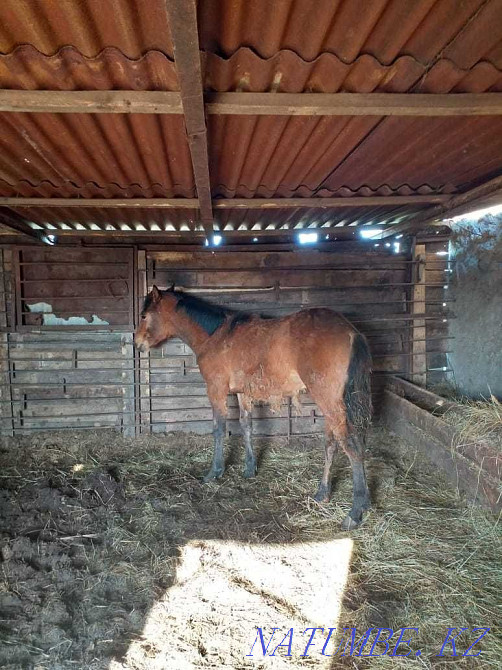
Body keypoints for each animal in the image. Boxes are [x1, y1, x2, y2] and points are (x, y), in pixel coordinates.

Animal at [134, 285, 372, 529]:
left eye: (143, 315)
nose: (137, 343)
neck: (216, 336)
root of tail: (351, 332)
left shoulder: (216, 390)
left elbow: (219, 429)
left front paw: (215, 471)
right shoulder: (242, 393)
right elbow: (246, 426)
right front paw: (249, 468)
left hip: (329, 401)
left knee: (351, 445)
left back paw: (355, 511)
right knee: (331, 443)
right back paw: (322, 493)